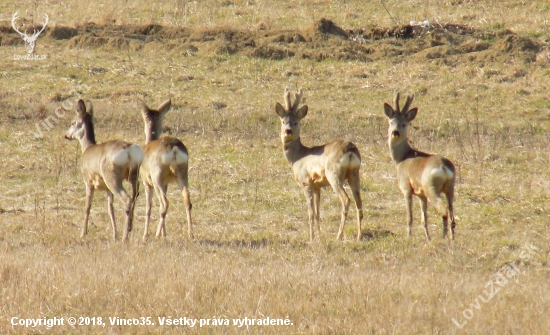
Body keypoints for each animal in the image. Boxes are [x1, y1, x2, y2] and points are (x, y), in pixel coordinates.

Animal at [64, 100, 143, 242]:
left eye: (72, 122)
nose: (66, 135)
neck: (87, 148)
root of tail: (128, 149)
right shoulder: (107, 189)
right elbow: (110, 209)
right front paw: (114, 235)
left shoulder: (88, 181)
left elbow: (87, 206)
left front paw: (83, 233)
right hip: (134, 175)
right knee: (134, 196)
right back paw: (129, 229)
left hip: (111, 176)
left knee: (127, 198)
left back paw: (125, 236)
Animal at [138, 99, 194, 242]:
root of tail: (174, 148)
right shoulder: (166, 183)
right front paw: (164, 233)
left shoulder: (146, 182)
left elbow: (149, 207)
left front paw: (145, 236)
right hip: (183, 173)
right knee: (187, 200)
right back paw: (190, 233)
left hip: (157, 176)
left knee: (164, 203)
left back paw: (156, 235)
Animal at [274, 88, 362, 243]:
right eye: (283, 121)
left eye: (296, 122)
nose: (288, 131)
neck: (297, 158)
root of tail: (350, 150)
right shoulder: (317, 186)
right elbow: (318, 212)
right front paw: (319, 236)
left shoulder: (306, 183)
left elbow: (310, 213)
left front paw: (311, 238)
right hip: (354, 174)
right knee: (359, 202)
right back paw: (359, 236)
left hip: (334, 175)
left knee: (346, 200)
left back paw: (339, 236)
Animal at [384, 90, 458, 240]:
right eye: (391, 122)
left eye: (404, 124)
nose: (395, 132)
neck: (401, 159)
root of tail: (443, 167)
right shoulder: (421, 194)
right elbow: (424, 218)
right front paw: (428, 238)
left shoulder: (406, 187)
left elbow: (410, 217)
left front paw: (408, 236)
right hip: (450, 187)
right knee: (452, 212)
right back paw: (452, 238)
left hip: (431, 186)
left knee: (444, 210)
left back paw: (443, 237)